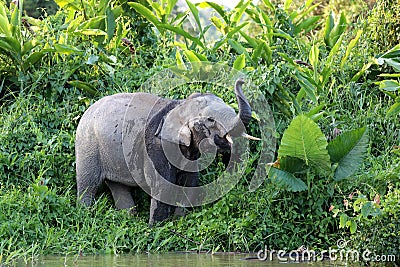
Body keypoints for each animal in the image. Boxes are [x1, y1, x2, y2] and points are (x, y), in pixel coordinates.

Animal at [75, 78, 260, 225]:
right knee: (88, 183)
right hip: (87, 145)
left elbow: (189, 181)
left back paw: (129, 218)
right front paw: (155, 229)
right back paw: (86, 214)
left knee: (118, 186)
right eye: (210, 120)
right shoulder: (156, 148)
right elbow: (163, 185)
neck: (179, 105)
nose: (242, 80)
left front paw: (179, 220)